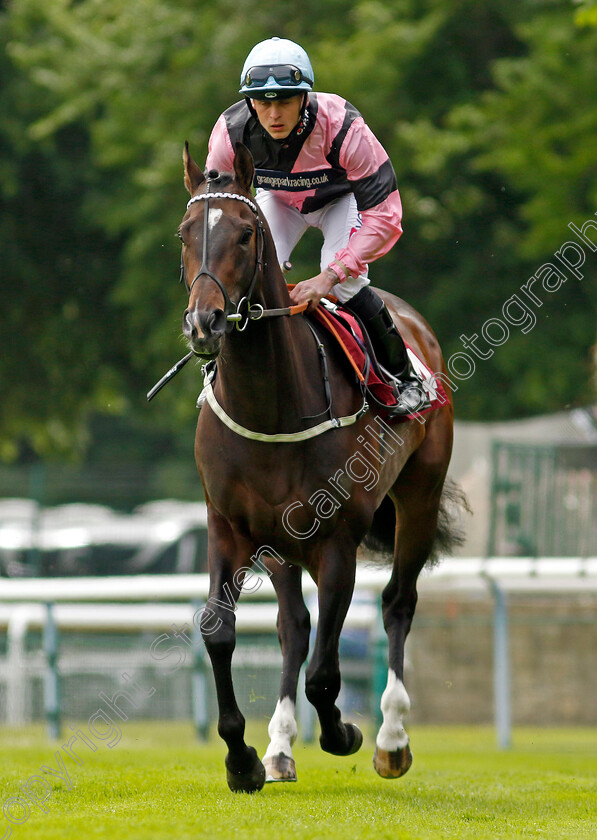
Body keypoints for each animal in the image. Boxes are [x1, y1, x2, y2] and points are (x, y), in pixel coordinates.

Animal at [179, 141, 464, 792]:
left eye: (246, 234)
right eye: (184, 232)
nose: (205, 323)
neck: (271, 402)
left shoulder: (337, 542)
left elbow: (327, 675)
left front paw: (344, 733)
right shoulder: (229, 527)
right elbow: (219, 631)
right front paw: (242, 758)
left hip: (418, 496)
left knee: (397, 603)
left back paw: (390, 739)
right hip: (280, 544)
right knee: (293, 627)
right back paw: (280, 747)